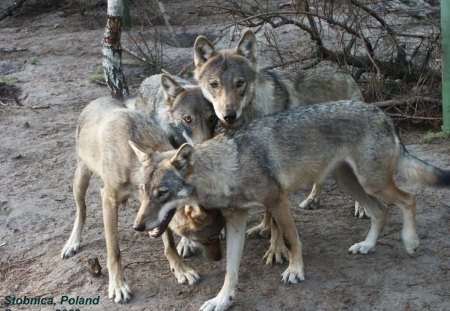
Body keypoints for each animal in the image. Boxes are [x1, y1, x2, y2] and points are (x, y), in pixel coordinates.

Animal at [61, 96, 223, 304]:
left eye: (162, 193)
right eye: (210, 237)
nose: (137, 227)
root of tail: (98, 99)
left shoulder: (153, 214)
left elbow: (170, 244)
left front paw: (181, 270)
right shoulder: (108, 199)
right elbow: (114, 252)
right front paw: (118, 286)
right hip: (81, 181)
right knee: (81, 211)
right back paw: (72, 243)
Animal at [130, 101, 450, 310]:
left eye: (162, 193)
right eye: (143, 192)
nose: (137, 226)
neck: (227, 167)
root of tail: (382, 113)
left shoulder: (278, 202)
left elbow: (292, 240)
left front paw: (295, 271)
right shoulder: (236, 220)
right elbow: (231, 269)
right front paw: (223, 299)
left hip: (371, 183)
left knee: (408, 199)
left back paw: (410, 242)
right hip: (351, 183)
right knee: (380, 211)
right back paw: (368, 246)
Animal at [192, 30, 366, 238]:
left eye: (240, 83)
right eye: (214, 84)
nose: (229, 115)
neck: (252, 113)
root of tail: (345, 73)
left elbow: (270, 208)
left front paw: (266, 230)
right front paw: (263, 228)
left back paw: (362, 207)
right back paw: (313, 200)